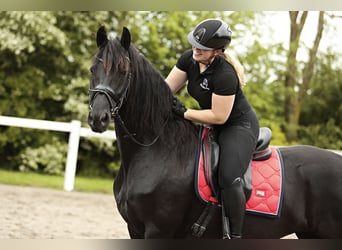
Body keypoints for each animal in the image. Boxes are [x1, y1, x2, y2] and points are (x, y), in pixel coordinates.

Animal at [88, 26, 342, 239]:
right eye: (92, 69)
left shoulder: (158, 230)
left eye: (123, 71)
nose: (98, 118)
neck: (157, 149)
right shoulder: (135, 229)